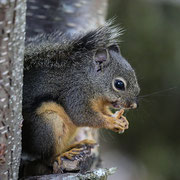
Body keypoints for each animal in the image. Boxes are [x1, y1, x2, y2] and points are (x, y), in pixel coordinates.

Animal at [20, 22, 139, 176]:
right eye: (119, 84)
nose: (133, 105)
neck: (90, 81)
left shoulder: (98, 104)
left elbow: (103, 111)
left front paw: (122, 120)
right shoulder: (75, 93)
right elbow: (82, 116)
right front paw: (112, 122)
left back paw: (77, 144)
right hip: (48, 124)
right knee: (46, 157)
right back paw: (63, 154)